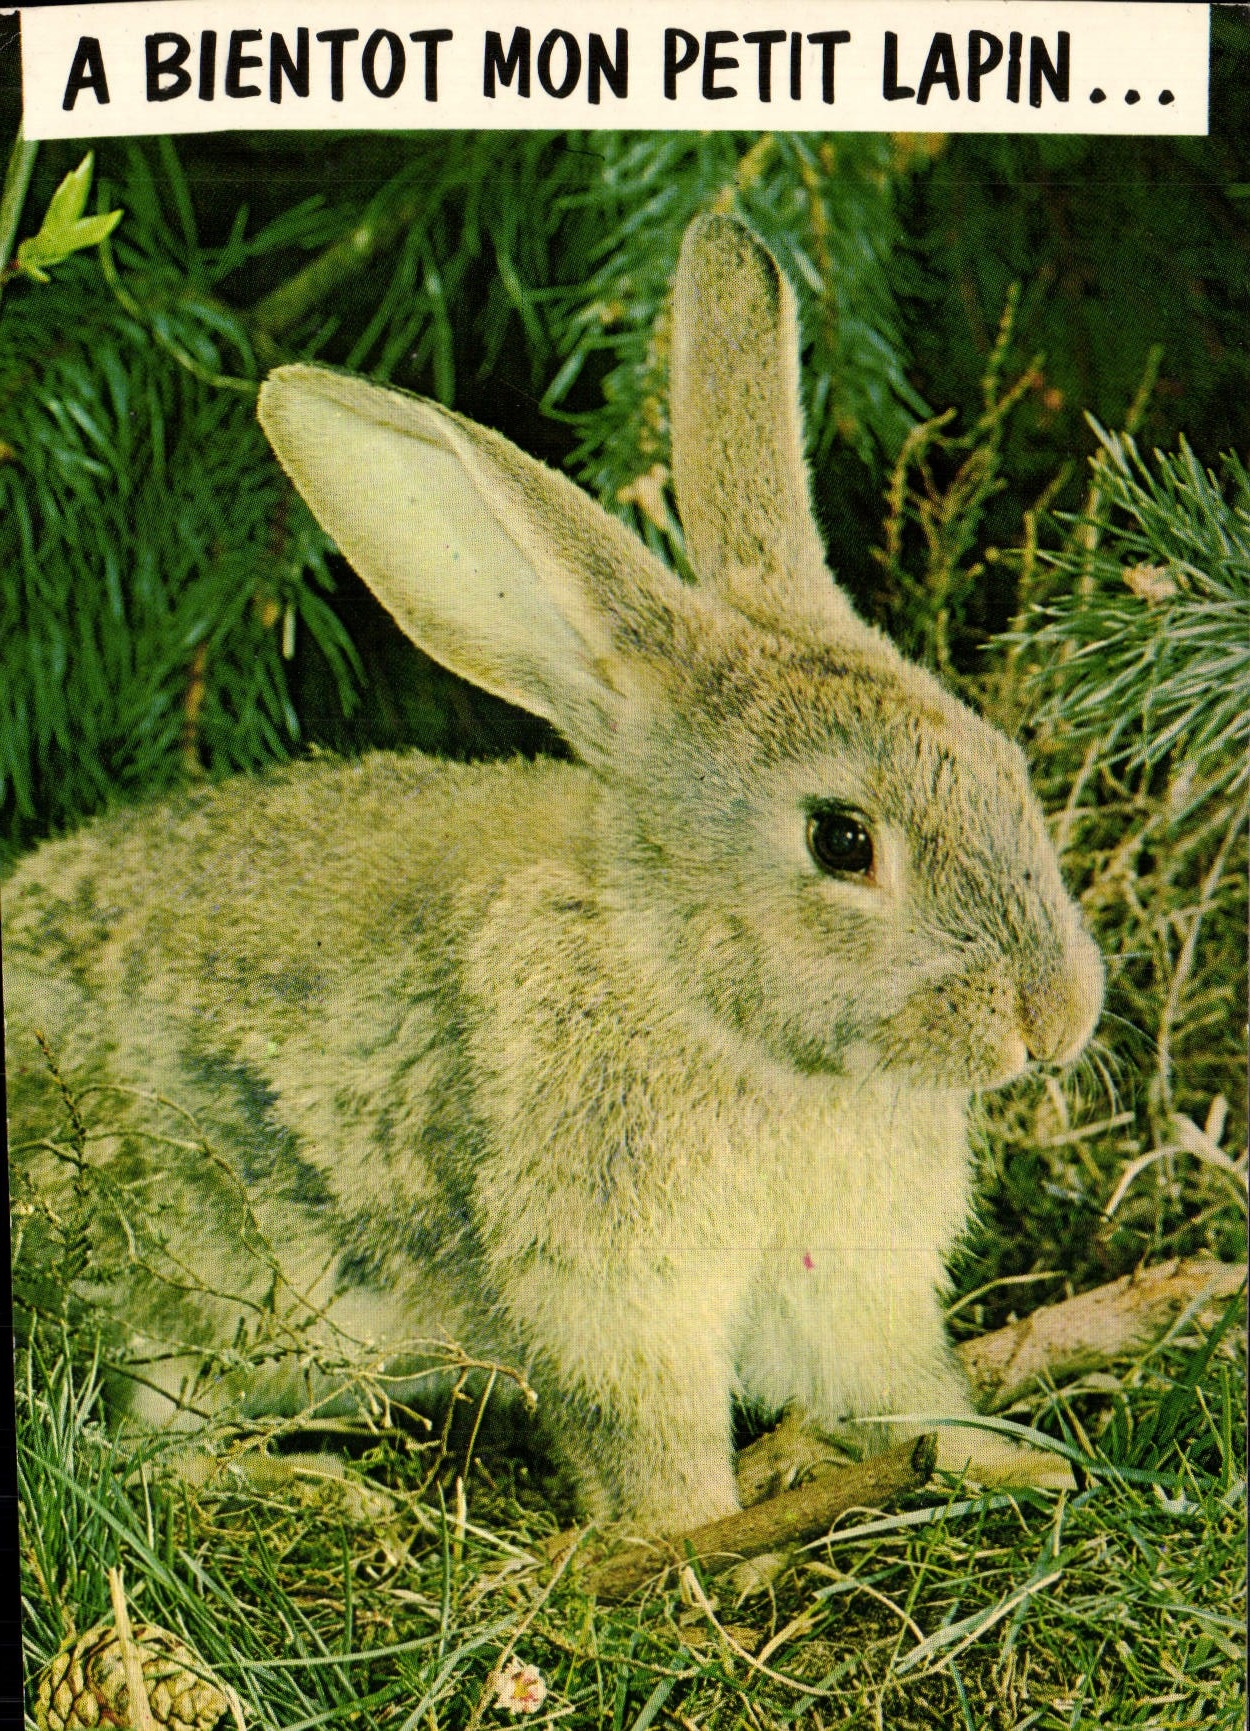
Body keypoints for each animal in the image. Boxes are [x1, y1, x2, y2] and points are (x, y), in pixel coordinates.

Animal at [2, 214, 1103, 1533]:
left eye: (1004, 763)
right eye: (842, 841)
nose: (1053, 1020)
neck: (703, 1001)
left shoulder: (849, 1284)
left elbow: (895, 1389)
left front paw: (1015, 1463)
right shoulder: (603, 1285)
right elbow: (644, 1424)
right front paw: (694, 1531)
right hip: (172, 1280)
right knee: (138, 1444)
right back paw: (318, 1490)